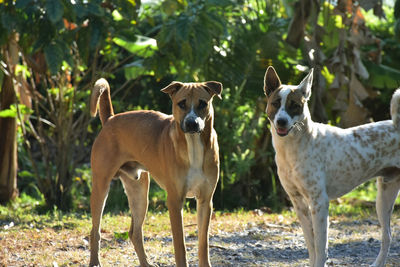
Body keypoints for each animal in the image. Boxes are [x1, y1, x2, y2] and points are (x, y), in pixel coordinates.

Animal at [88, 78, 222, 266]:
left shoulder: (205, 201)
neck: (193, 145)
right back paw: (95, 261)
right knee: (95, 231)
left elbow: (203, 244)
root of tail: (110, 119)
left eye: (202, 103)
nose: (191, 123)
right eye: (182, 103)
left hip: (139, 194)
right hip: (101, 187)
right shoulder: (174, 201)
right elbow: (180, 246)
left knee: (135, 233)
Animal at [262, 65, 400, 267]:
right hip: (384, 198)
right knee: (387, 237)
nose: (281, 121)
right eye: (275, 103)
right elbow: (311, 246)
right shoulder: (299, 203)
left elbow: (321, 248)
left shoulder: (319, 203)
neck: (293, 148)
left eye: (295, 105)